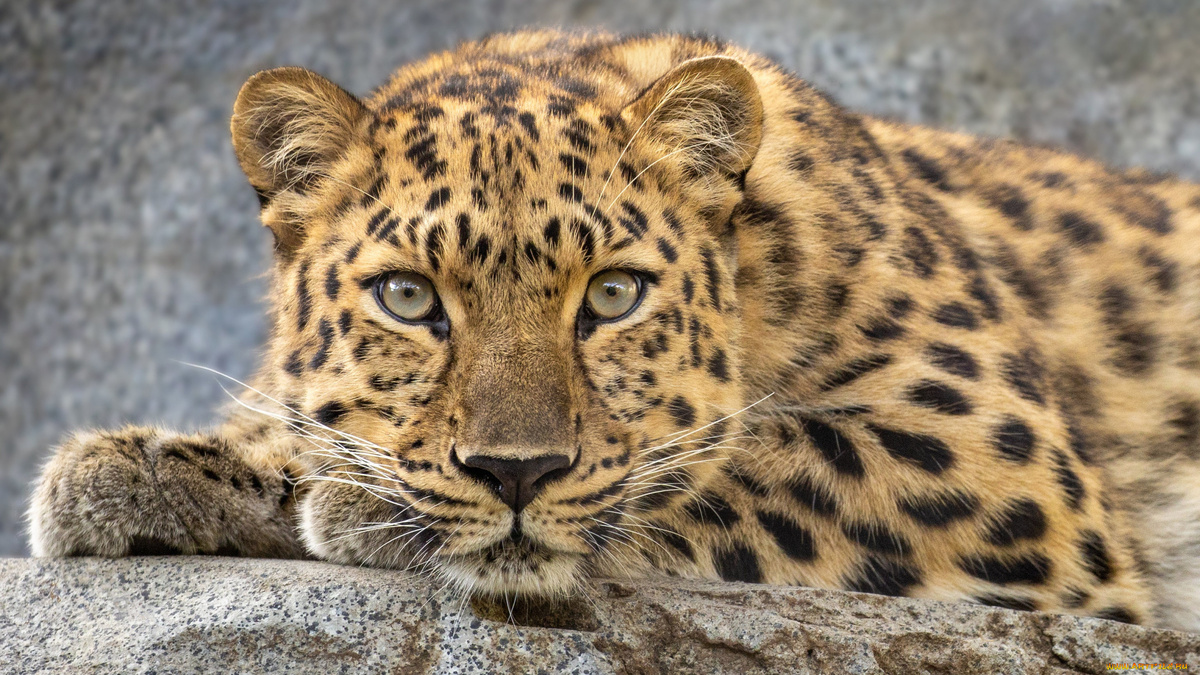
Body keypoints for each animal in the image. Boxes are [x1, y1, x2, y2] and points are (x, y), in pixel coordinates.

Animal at [27, 29, 1200, 633]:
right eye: (409, 298)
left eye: (613, 296)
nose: (515, 472)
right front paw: (151, 469)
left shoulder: (998, 456)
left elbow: (746, 459)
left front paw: (359, 506)